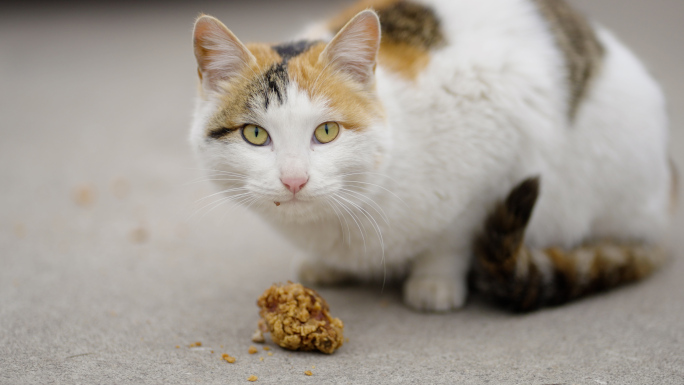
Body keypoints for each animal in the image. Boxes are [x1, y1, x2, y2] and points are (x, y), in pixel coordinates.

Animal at [190, 0, 676, 310]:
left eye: (326, 132)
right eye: (255, 134)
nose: (294, 180)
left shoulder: (500, 143)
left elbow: (454, 236)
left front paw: (434, 282)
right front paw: (327, 265)